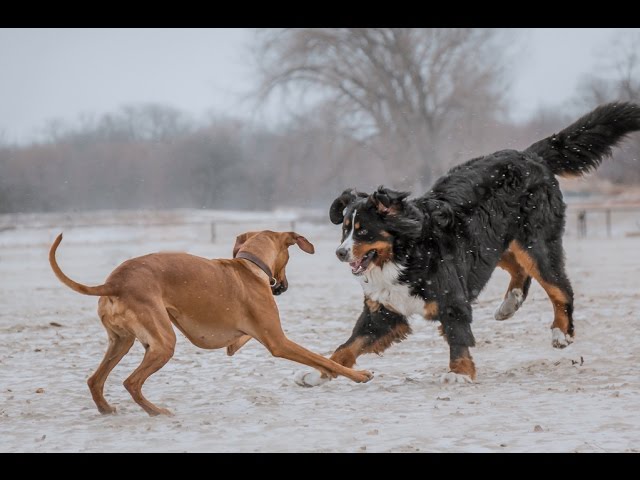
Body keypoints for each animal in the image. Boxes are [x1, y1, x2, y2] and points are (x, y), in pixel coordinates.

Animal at [50, 231, 372, 414]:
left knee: (95, 380)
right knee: (131, 382)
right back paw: (157, 412)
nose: (282, 287)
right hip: (163, 343)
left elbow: (237, 342)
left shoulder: (255, 336)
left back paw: (106, 409)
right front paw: (358, 375)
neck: (250, 263)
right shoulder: (278, 342)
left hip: (121, 341)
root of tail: (114, 282)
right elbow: (322, 359)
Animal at [298, 101, 636, 386]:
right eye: (344, 229)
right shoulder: (384, 312)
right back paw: (510, 303)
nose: (340, 252)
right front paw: (318, 373)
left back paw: (561, 333)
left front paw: (459, 373)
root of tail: (531, 156)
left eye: (364, 231)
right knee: (520, 272)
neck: (405, 253)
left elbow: (458, 337)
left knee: (560, 288)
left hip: (535, 244)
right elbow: (348, 346)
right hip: (492, 244)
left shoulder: (452, 299)